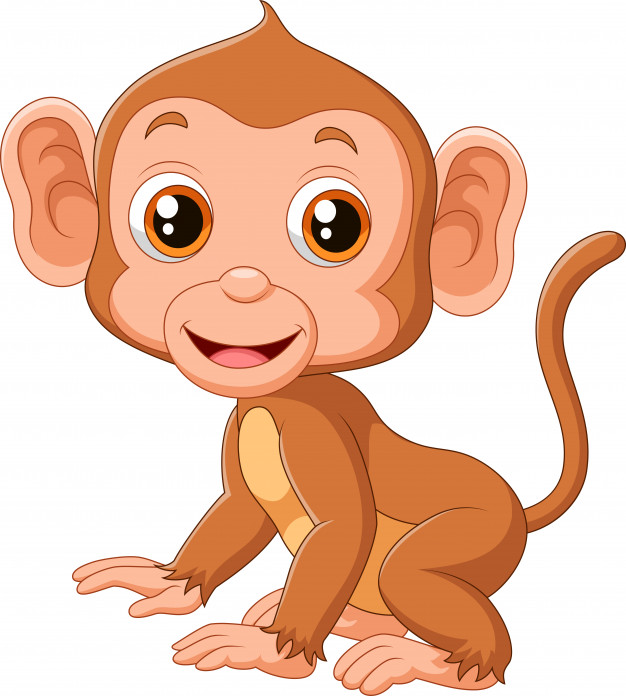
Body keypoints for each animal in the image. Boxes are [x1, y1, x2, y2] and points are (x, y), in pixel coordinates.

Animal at [1, 3, 624, 694]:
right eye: (173, 219)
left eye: (334, 225)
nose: (244, 285)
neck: (282, 395)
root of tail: (515, 503)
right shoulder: (246, 421)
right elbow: (238, 513)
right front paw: (170, 583)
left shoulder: (312, 430)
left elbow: (343, 530)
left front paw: (270, 652)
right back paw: (354, 622)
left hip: (476, 531)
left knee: (409, 577)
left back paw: (426, 658)